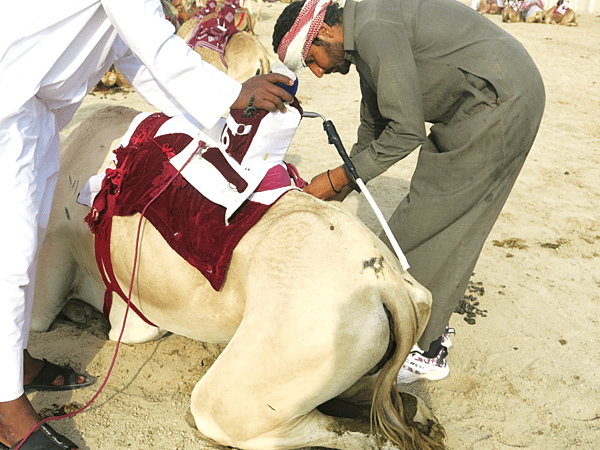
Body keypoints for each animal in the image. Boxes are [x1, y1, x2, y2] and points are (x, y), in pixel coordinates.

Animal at [31, 105, 446, 450]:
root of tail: (388, 286)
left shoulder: (59, 266)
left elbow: (50, 316)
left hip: (269, 368)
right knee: (377, 397)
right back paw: (422, 418)